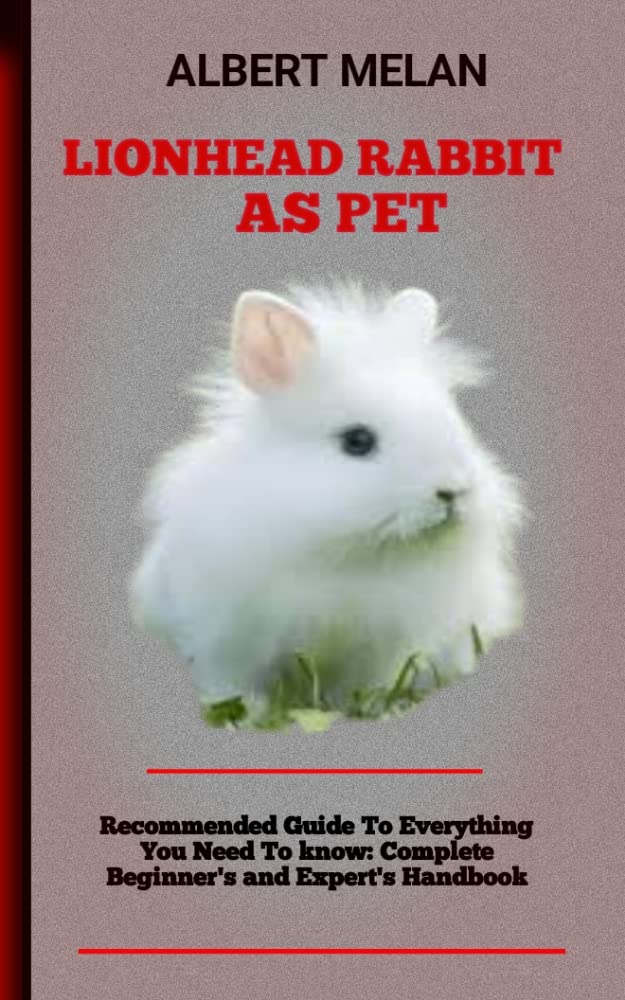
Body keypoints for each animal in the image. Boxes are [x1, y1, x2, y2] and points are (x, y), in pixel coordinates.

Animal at [131, 284, 523, 728]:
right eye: (357, 441)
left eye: (455, 422)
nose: (453, 491)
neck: (345, 552)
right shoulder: (224, 638)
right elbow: (231, 683)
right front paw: (247, 715)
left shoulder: (382, 645)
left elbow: (362, 685)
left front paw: (366, 709)